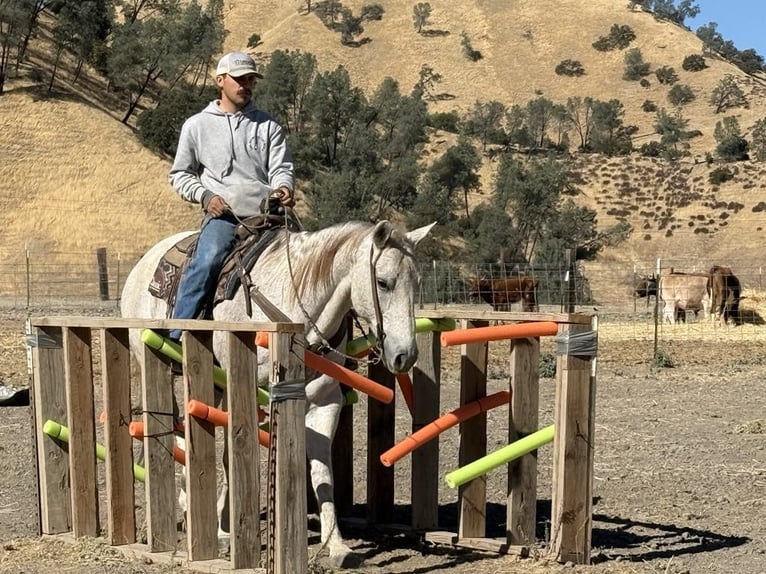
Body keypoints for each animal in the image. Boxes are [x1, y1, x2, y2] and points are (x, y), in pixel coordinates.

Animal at [120, 219, 435, 567]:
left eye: (418, 282)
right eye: (383, 282)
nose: (405, 355)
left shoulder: (325, 401)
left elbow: (322, 472)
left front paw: (337, 546)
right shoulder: (244, 390)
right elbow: (231, 458)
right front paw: (225, 533)